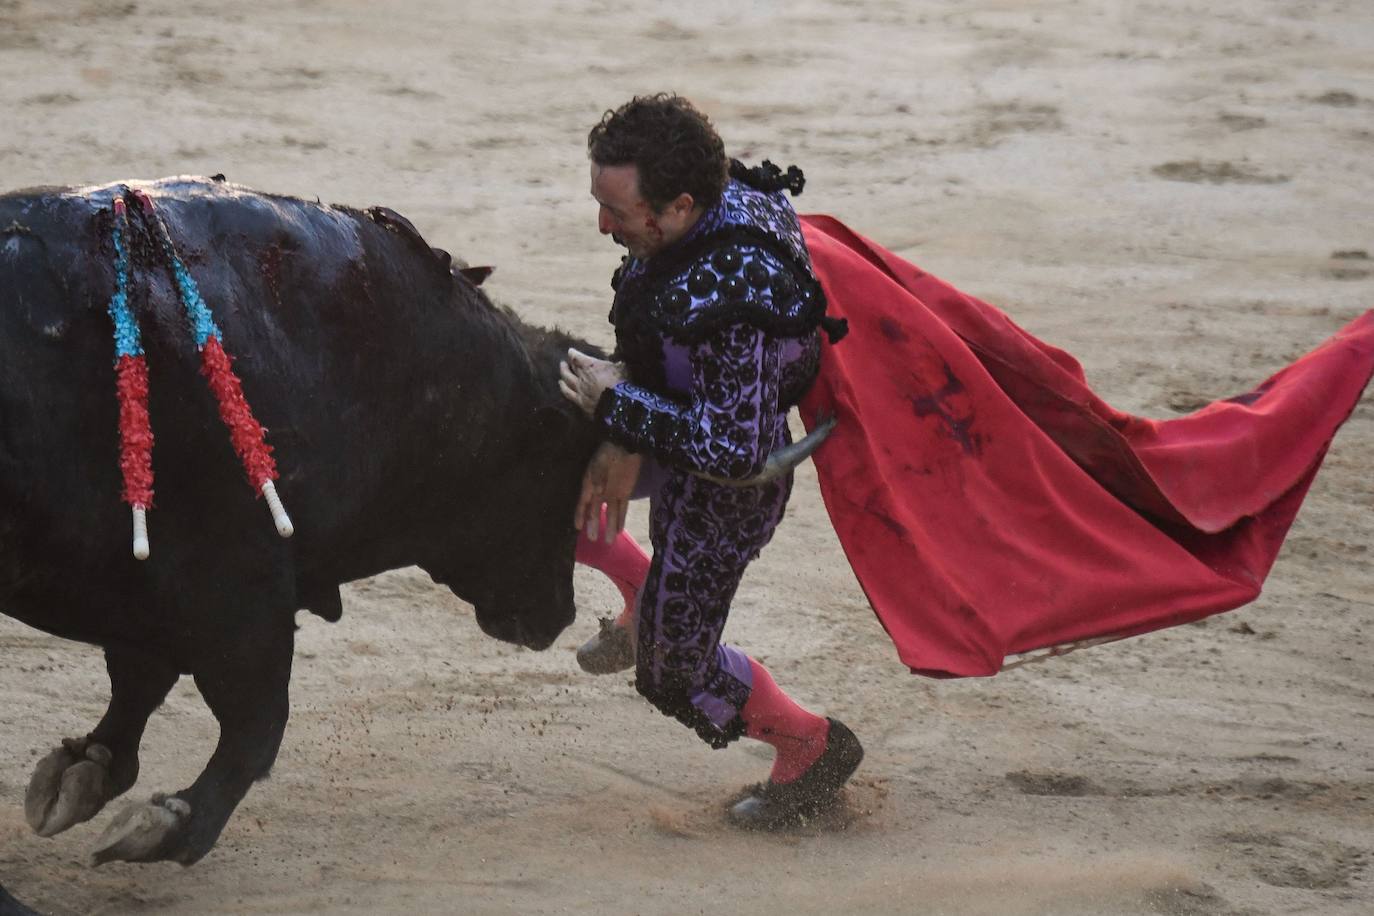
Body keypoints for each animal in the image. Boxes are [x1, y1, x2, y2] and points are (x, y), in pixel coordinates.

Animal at [0, 177, 601, 867]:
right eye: (558, 478)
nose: (560, 615)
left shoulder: (160, 597)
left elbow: (144, 682)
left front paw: (87, 770)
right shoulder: (238, 588)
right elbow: (257, 722)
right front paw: (168, 824)